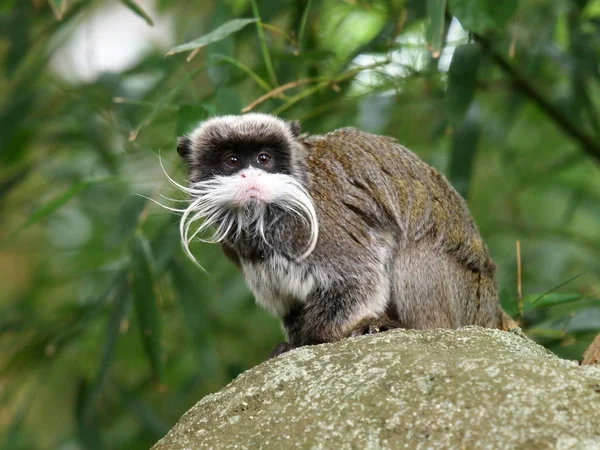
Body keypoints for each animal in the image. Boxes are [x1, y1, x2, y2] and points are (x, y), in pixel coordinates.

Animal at [170, 113, 516, 358]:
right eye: (232, 160)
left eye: (263, 158)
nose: (251, 177)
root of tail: (490, 306)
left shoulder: (322, 221)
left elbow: (358, 280)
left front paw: (310, 340)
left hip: (464, 293)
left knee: (415, 253)